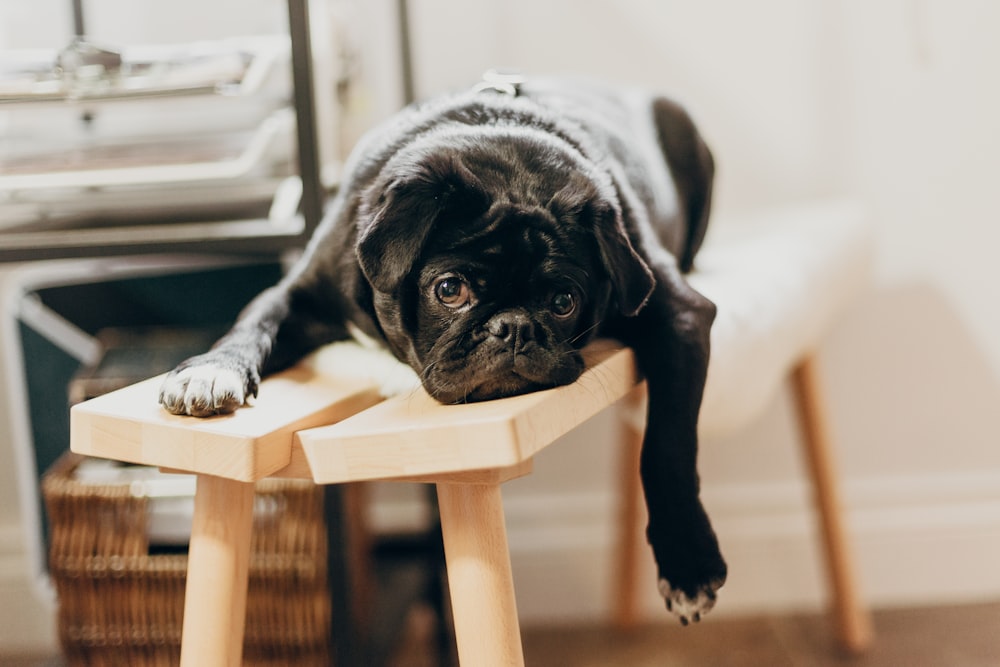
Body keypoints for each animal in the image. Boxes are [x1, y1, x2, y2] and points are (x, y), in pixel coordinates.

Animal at [160, 74, 724, 628]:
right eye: (450, 289)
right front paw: (210, 371)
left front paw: (688, 560)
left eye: (564, 302)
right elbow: (252, 324)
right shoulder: (295, 295)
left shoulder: (680, 316)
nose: (514, 327)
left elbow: (667, 447)